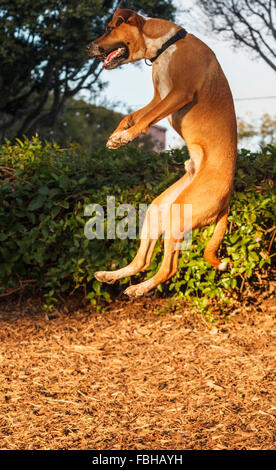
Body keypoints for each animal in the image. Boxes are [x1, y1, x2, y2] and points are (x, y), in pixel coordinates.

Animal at [87, 8, 236, 298]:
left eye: (109, 28)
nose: (88, 47)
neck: (167, 45)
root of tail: (226, 201)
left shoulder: (178, 93)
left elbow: (145, 120)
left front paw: (124, 138)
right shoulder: (159, 97)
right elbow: (132, 116)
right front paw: (116, 135)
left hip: (179, 213)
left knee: (169, 268)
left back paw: (139, 289)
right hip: (159, 210)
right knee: (143, 261)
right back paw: (112, 276)